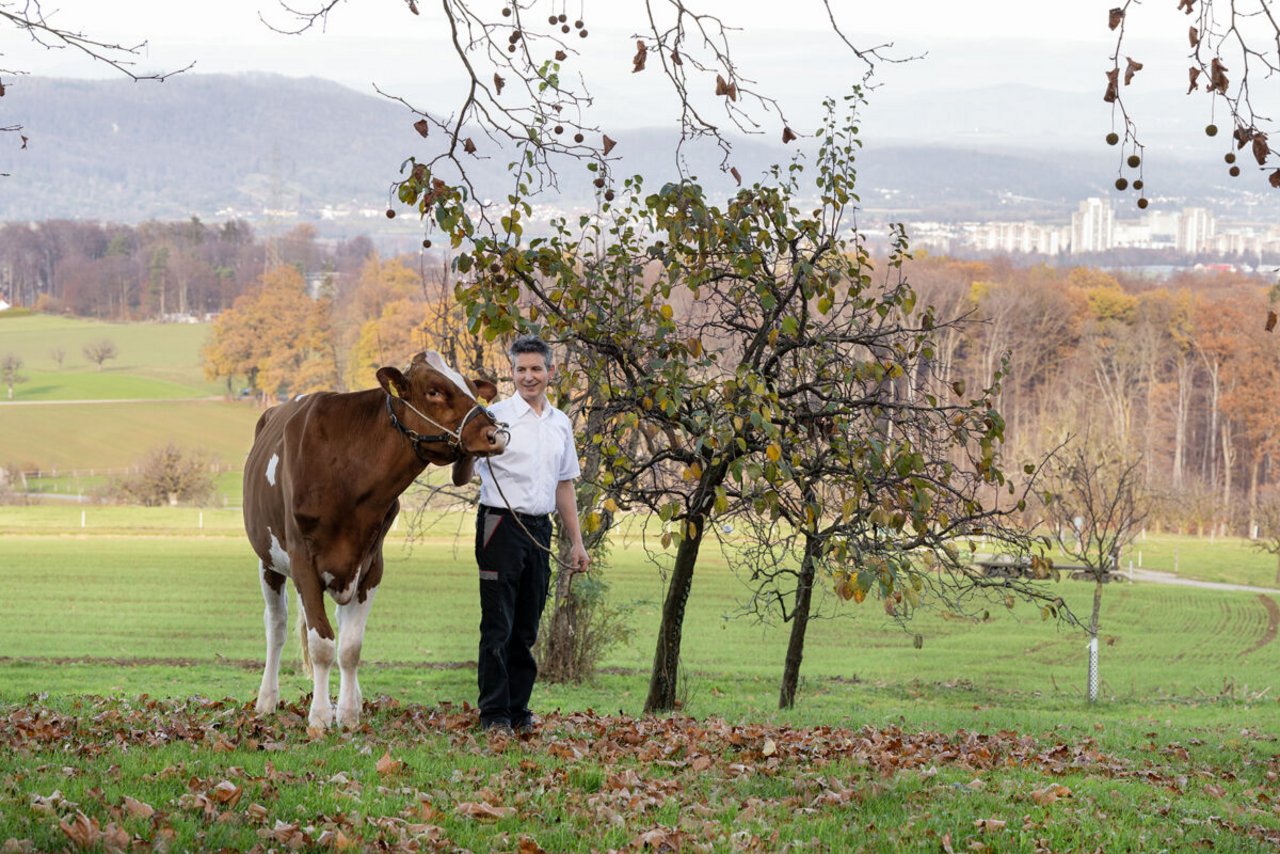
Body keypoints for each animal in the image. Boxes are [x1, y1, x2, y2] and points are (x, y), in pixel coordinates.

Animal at [244, 350, 504, 732]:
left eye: (472, 388)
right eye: (434, 391)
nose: (495, 434)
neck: (349, 477)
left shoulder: (370, 565)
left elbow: (351, 647)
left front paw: (349, 714)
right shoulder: (303, 560)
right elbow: (321, 644)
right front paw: (319, 718)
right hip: (268, 561)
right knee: (275, 626)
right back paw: (266, 700)